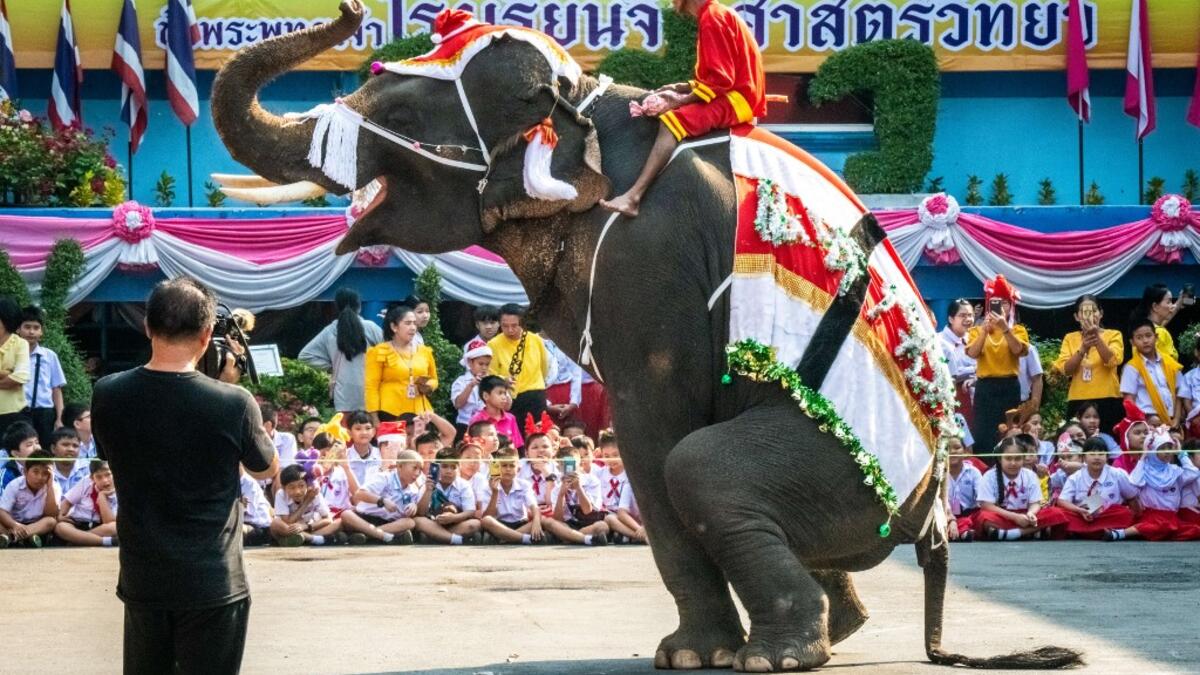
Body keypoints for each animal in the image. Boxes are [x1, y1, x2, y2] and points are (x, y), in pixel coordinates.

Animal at [211, 2, 1082, 671]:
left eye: (397, 118)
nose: (352, 11)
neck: (589, 104)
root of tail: (931, 520)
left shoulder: (646, 256)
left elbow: (655, 429)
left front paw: (691, 655)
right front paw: (705, 651)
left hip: (847, 472)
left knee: (700, 467)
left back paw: (776, 654)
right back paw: (832, 630)